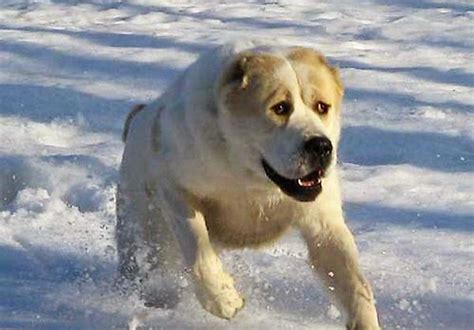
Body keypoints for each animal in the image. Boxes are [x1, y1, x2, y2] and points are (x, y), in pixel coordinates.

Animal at [116, 41, 380, 330]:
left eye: (322, 106)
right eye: (280, 108)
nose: (321, 146)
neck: (250, 179)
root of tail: (140, 115)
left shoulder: (323, 222)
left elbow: (354, 283)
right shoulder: (173, 187)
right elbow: (198, 250)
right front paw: (223, 299)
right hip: (144, 232)